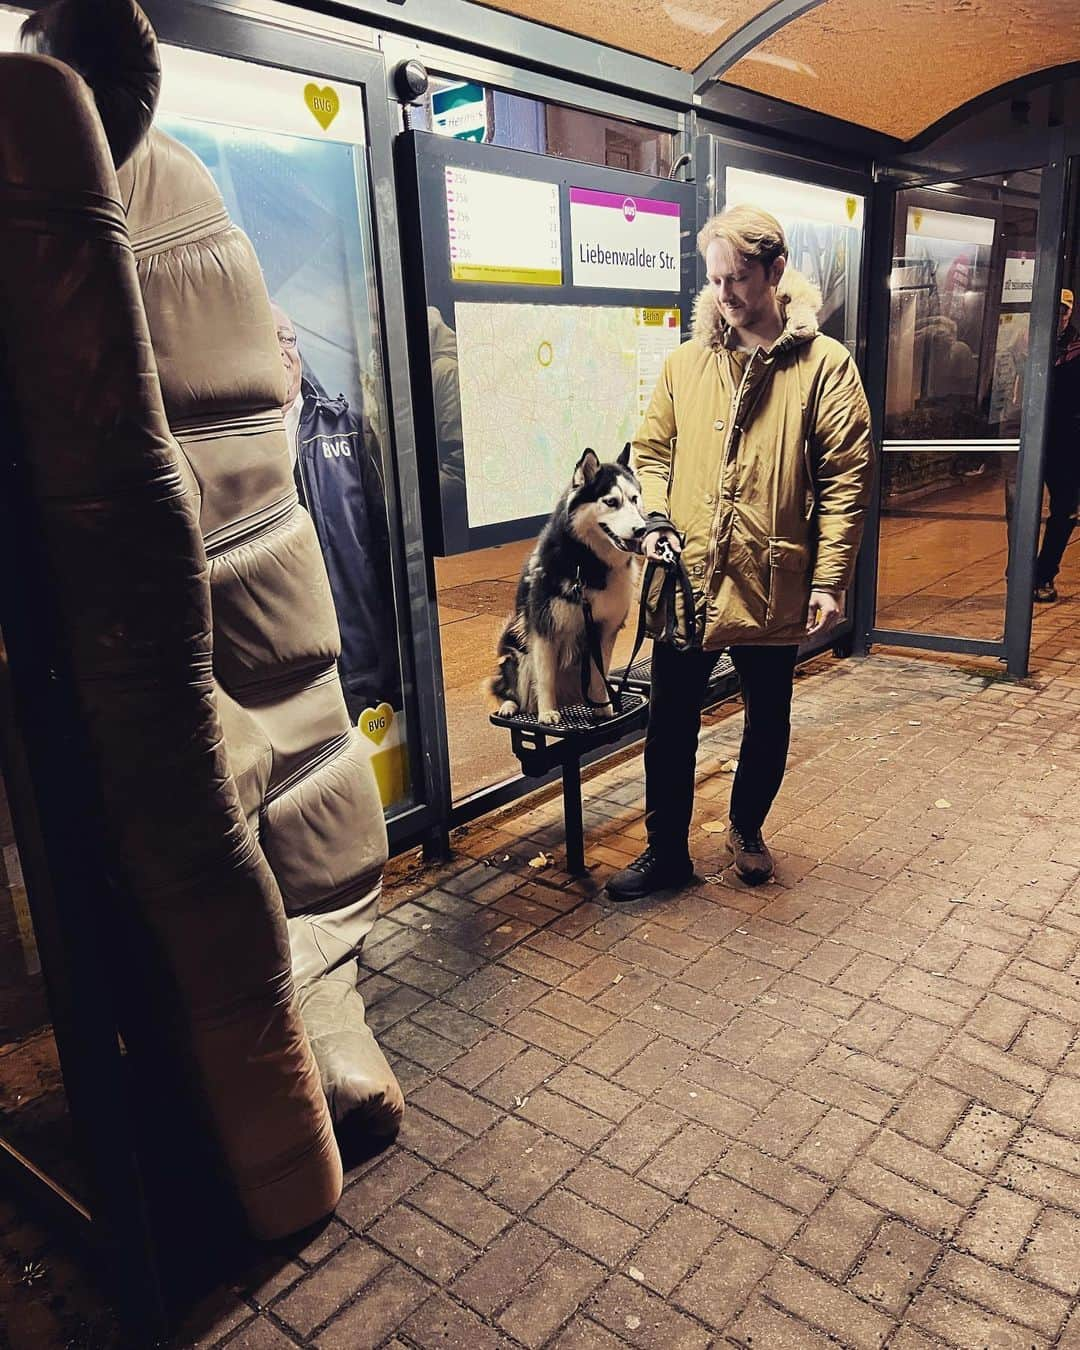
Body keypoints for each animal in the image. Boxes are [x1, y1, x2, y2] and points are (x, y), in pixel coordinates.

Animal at [491, 448, 650, 729]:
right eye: (611, 502)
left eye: (634, 499)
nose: (641, 529)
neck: (588, 564)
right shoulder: (544, 629)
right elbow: (545, 678)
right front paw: (546, 713)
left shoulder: (604, 630)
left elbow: (599, 674)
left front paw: (603, 707)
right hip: (514, 649)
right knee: (509, 688)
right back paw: (510, 705)